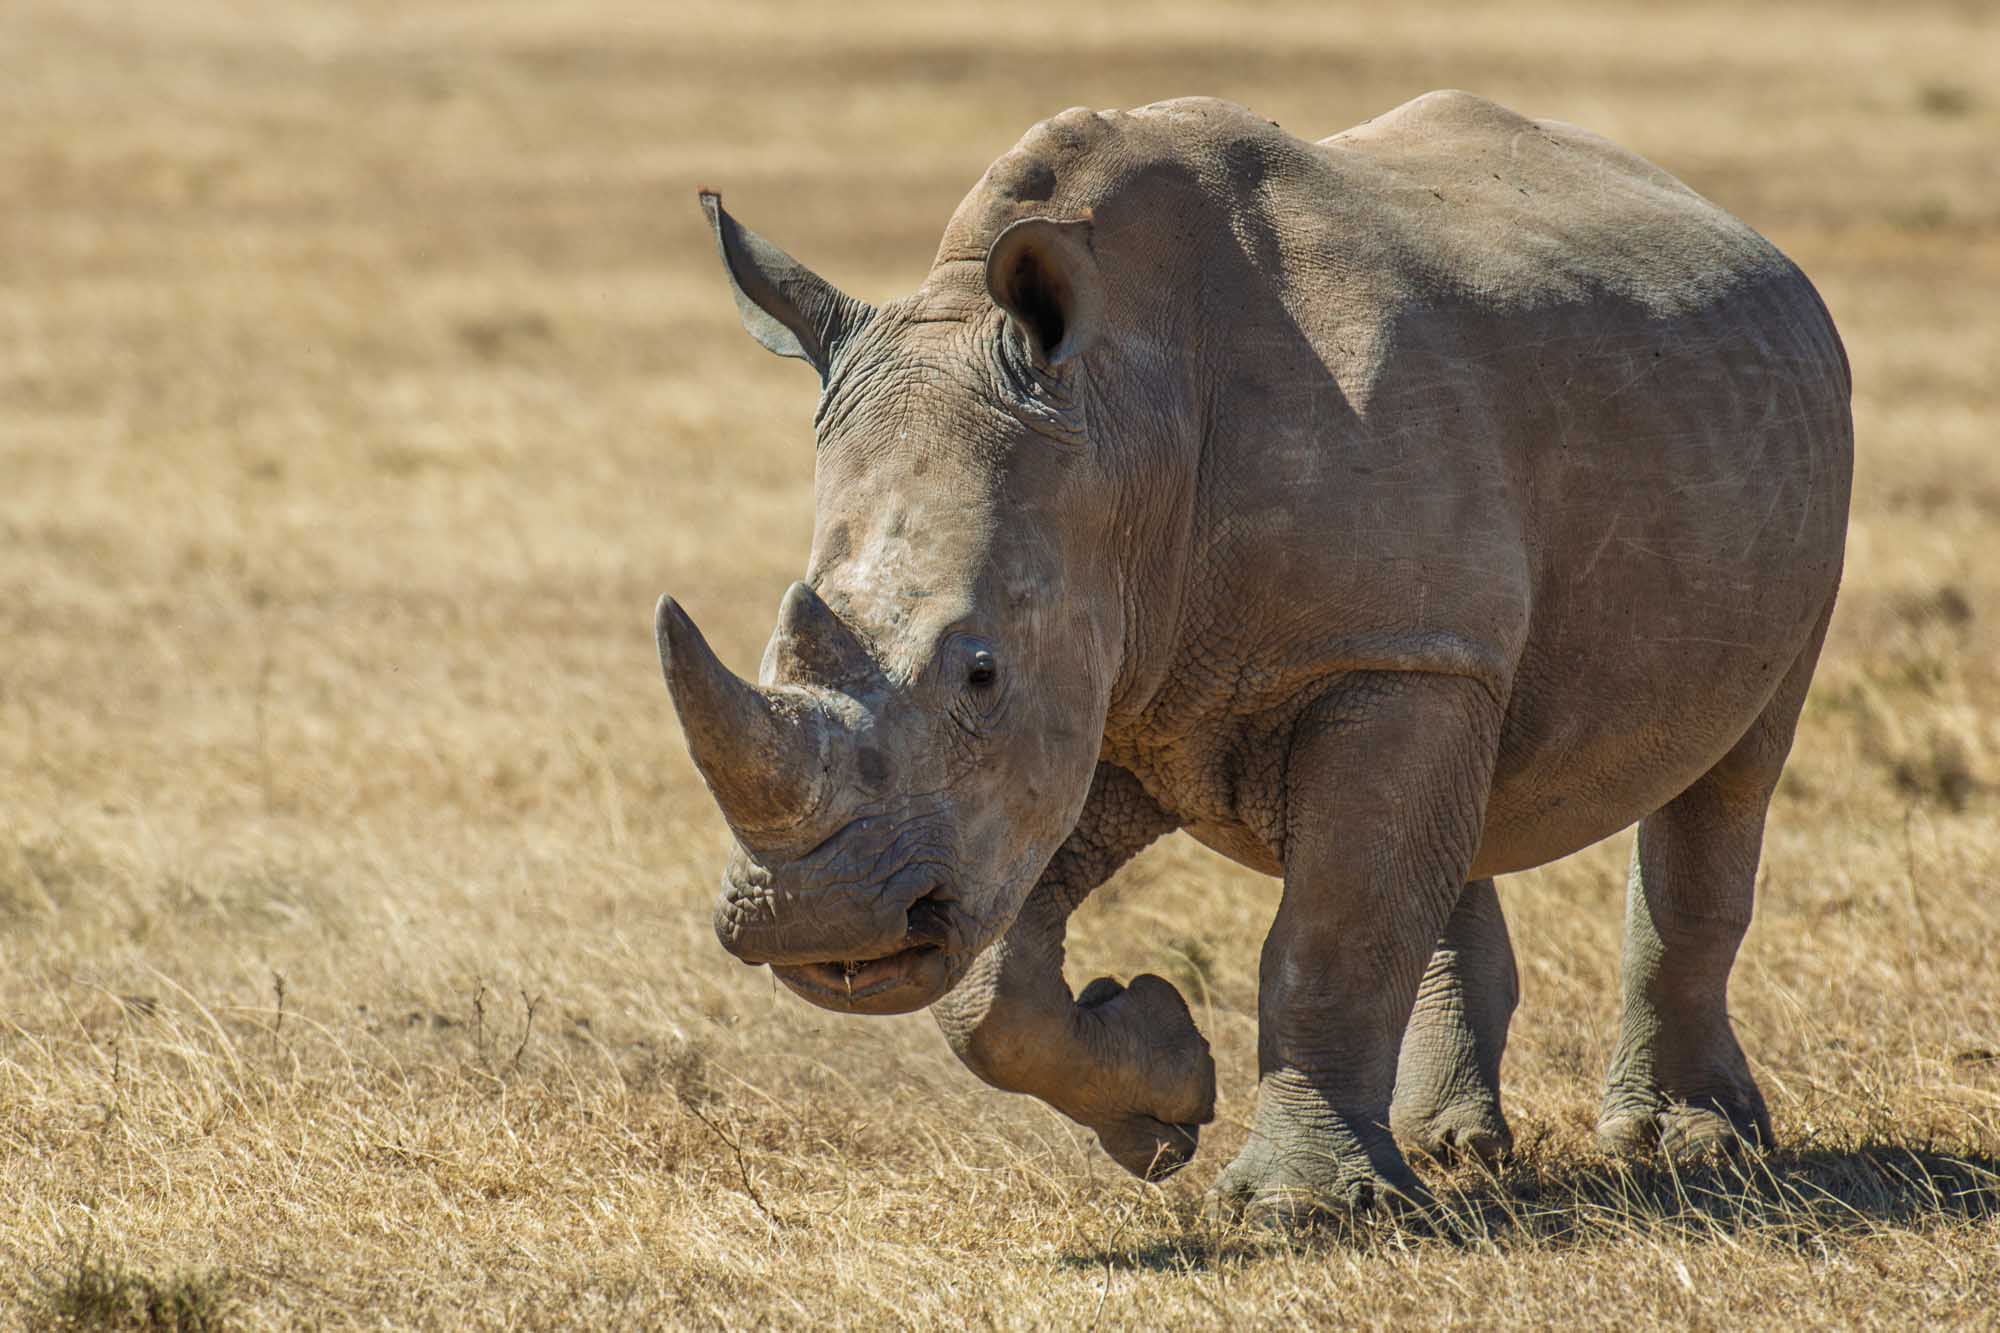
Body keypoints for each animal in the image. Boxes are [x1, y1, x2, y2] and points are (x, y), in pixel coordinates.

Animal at [656, 90, 1851, 1224]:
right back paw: (1447, 1149)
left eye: (981, 672)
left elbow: (1331, 933)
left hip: (1784, 459)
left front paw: (1301, 1208)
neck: (1124, 408)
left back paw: (1691, 1150)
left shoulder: (1365, 653)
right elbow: (990, 976)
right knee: (1459, 796)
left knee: (1731, 769)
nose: (810, 922)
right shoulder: (1122, 683)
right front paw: (1161, 1087)